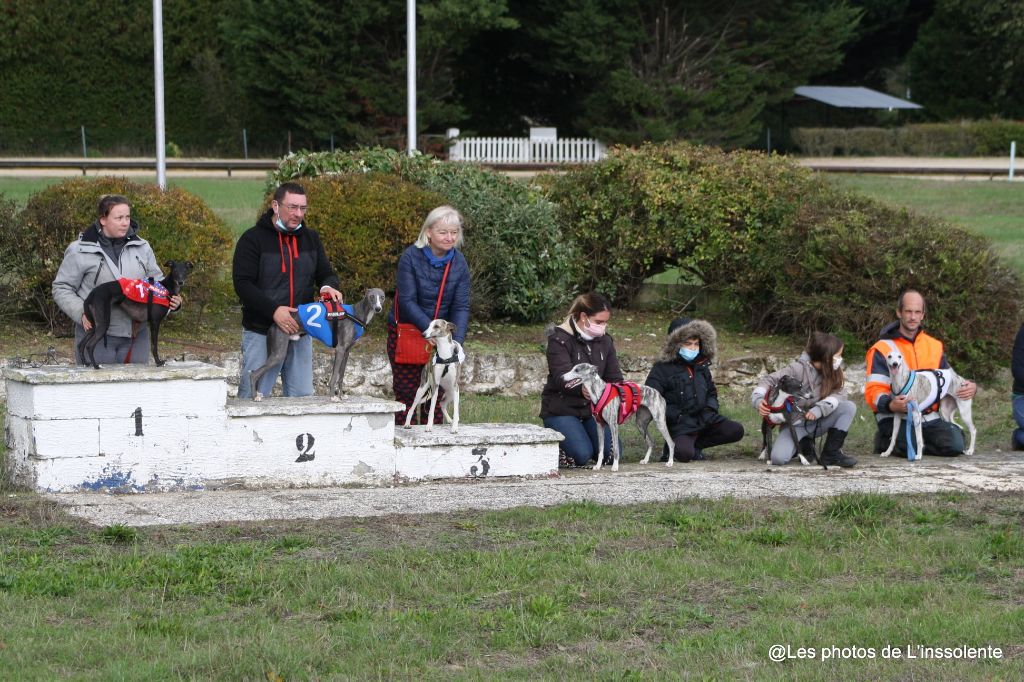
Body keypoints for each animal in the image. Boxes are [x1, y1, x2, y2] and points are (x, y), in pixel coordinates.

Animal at [249, 284, 385, 399]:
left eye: (382, 297)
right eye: (372, 296)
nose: (378, 309)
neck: (356, 313)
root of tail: (274, 324)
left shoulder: (347, 352)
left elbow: (341, 376)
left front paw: (341, 396)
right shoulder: (340, 349)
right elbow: (334, 376)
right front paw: (333, 397)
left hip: (274, 352)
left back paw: (258, 394)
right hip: (278, 354)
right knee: (254, 374)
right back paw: (255, 397)